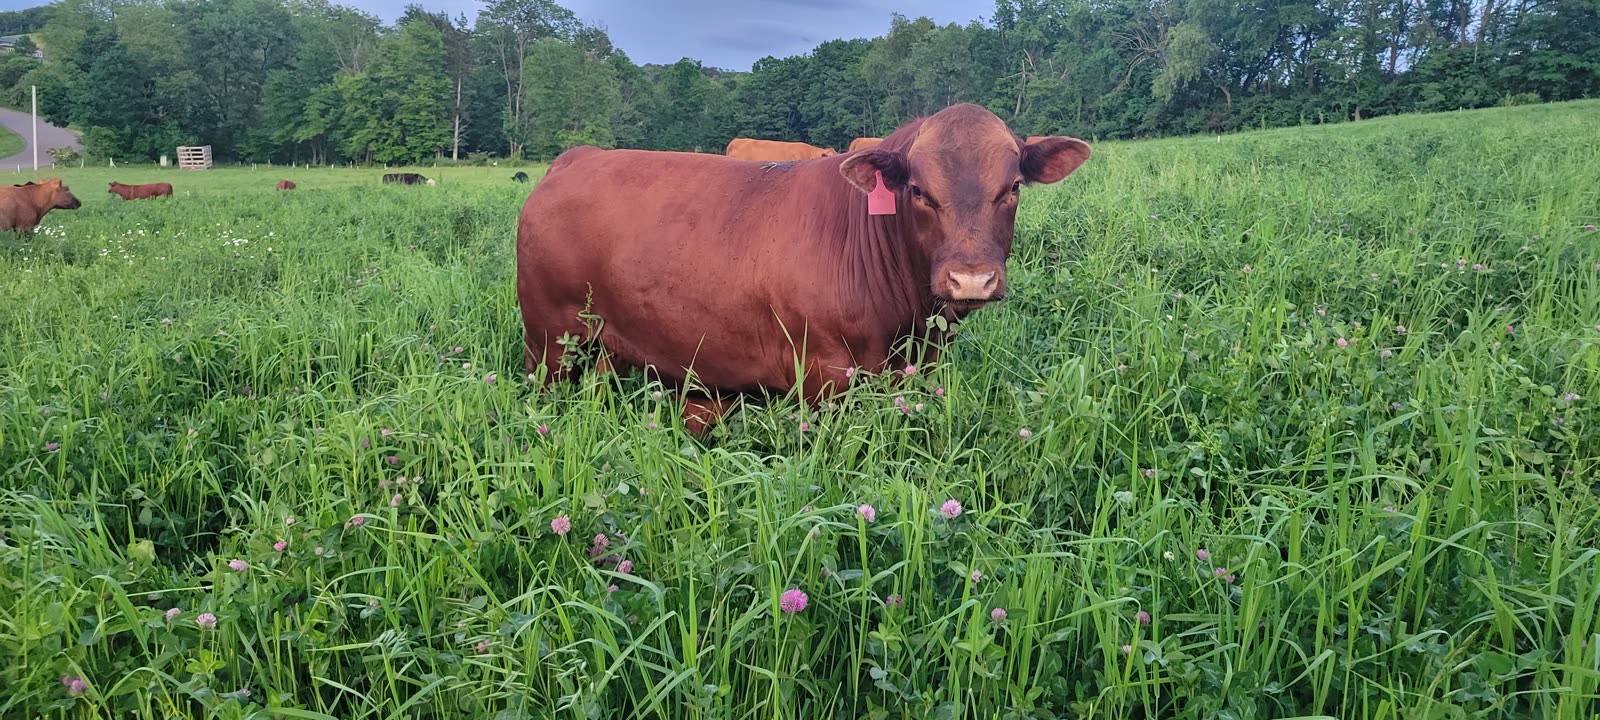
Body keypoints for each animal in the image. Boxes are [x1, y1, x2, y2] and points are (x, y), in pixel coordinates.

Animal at [517, 103, 1091, 434]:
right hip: (551, 344)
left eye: (1012, 188)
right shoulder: (825, 376)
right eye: (918, 190)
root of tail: (579, 156)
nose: (971, 278)